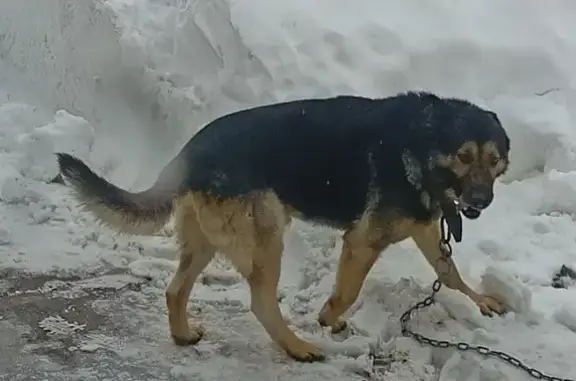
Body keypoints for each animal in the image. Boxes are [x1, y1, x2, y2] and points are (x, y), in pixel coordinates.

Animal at [57, 90, 508, 360]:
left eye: (494, 160)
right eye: (464, 157)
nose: (481, 202)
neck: (422, 143)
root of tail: (187, 154)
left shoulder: (425, 229)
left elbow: (448, 272)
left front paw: (481, 301)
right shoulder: (363, 241)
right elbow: (348, 291)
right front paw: (328, 318)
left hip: (206, 242)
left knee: (175, 290)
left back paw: (182, 334)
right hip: (268, 234)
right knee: (260, 301)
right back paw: (296, 346)